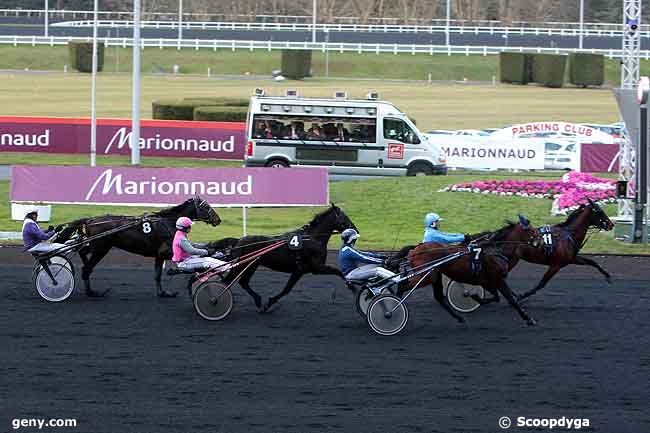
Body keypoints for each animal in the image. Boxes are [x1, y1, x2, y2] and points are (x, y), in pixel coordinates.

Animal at [55, 196, 220, 296]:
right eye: (206, 207)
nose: (218, 219)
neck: (169, 222)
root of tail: (90, 220)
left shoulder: (158, 255)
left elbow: (157, 274)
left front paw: (162, 293)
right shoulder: (165, 252)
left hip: (98, 245)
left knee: (83, 251)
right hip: (102, 248)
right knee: (86, 267)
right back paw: (91, 292)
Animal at [215, 203, 354, 310]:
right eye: (344, 217)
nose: (355, 230)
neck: (312, 238)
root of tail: (238, 241)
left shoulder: (301, 270)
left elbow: (287, 289)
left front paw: (268, 303)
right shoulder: (315, 268)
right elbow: (338, 271)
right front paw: (351, 286)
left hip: (251, 265)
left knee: (243, 282)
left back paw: (258, 301)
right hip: (242, 265)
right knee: (225, 282)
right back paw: (215, 301)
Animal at [398, 214, 540, 326]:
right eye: (532, 230)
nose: (540, 240)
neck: (496, 250)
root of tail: (415, 249)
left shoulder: (487, 280)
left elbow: (496, 297)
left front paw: (476, 297)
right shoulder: (497, 279)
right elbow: (510, 299)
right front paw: (529, 319)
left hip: (434, 276)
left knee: (438, 297)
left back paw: (459, 318)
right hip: (426, 276)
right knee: (404, 285)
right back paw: (396, 303)